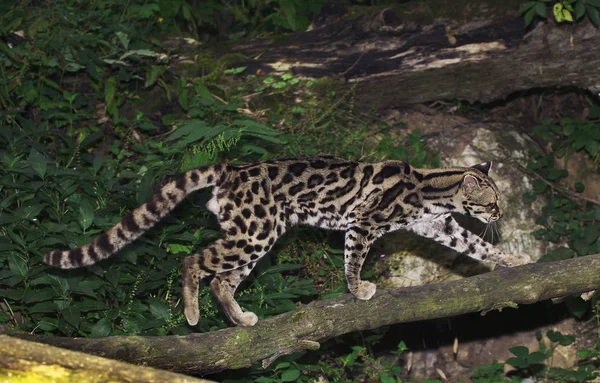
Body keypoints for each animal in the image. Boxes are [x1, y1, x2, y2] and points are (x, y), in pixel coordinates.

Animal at [44, 158, 516, 328]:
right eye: (492, 202)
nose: (502, 215)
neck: (432, 188)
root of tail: (232, 169)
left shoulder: (440, 227)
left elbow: (475, 246)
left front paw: (509, 260)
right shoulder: (363, 223)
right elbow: (354, 260)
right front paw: (358, 289)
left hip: (252, 235)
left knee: (222, 281)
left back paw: (239, 319)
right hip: (254, 233)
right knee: (194, 262)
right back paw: (194, 314)